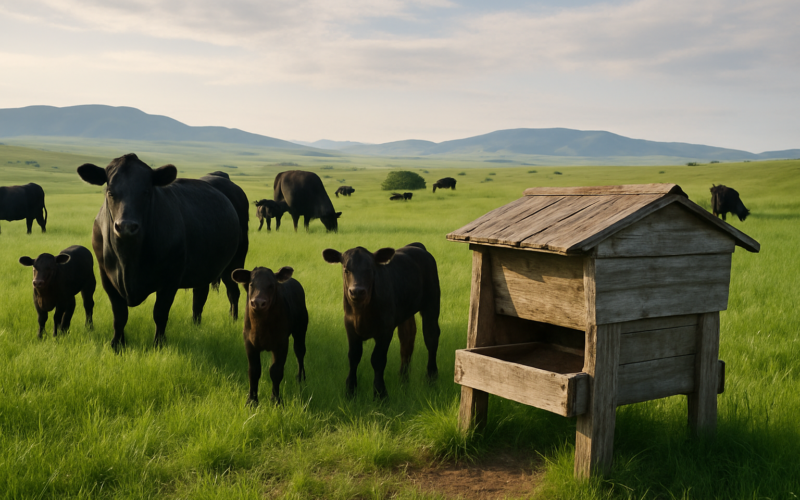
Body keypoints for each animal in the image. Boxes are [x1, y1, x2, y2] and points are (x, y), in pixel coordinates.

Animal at [77, 153, 247, 350]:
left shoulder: (171, 278)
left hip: (234, 262)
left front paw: (159, 343)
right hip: (205, 266)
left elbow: (160, 313)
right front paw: (117, 344)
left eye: (146, 192)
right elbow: (119, 315)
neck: (128, 259)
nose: (126, 226)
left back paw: (233, 320)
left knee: (233, 292)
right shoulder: (106, 276)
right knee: (199, 296)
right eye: (110, 192)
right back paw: (195, 325)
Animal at [232, 266, 308, 406]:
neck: (261, 326)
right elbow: (254, 371)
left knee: (300, 353)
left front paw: (276, 400)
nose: (258, 302)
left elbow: (276, 371)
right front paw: (252, 401)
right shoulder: (249, 343)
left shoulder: (282, 343)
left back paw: (300, 378)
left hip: (300, 331)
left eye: (271, 285)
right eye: (251, 284)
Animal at [322, 243, 441, 398]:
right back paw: (403, 379)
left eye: (370, 269)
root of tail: (416, 246)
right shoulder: (350, 327)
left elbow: (378, 359)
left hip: (432, 305)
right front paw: (350, 390)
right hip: (406, 313)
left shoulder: (385, 329)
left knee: (431, 338)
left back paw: (431, 378)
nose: (357, 291)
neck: (361, 312)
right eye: (346, 270)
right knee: (407, 341)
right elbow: (353, 357)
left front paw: (380, 393)